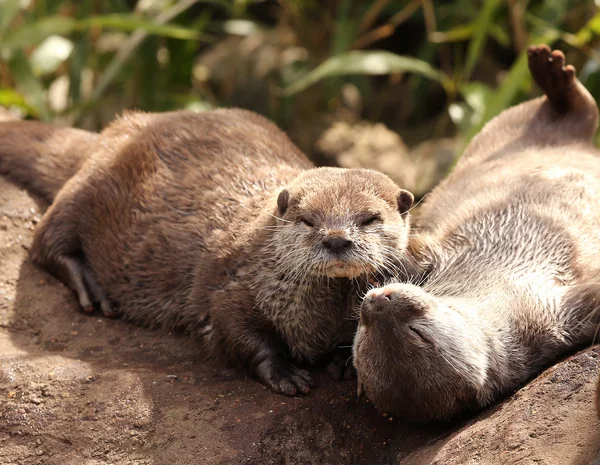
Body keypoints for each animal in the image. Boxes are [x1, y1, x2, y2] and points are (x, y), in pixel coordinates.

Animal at [0, 107, 412, 394]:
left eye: (370, 218)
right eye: (308, 220)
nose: (337, 238)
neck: (319, 316)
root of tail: (122, 128)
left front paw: (347, 361)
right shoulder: (235, 286)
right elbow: (236, 331)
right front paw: (286, 374)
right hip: (89, 186)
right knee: (45, 239)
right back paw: (92, 288)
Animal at [352, 46, 600, 420]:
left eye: (418, 333)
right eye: (365, 333)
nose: (377, 300)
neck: (497, 283)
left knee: (579, 112)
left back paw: (550, 72)